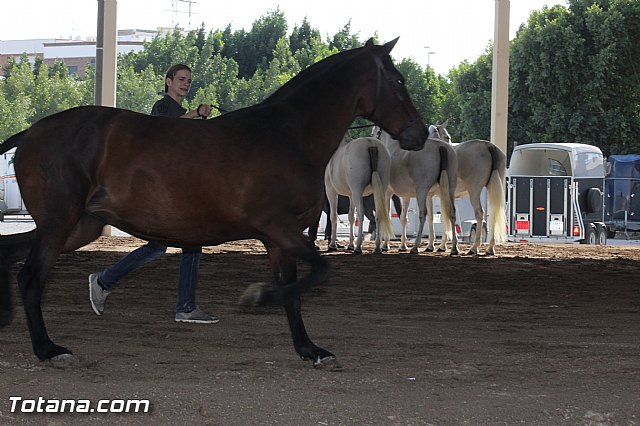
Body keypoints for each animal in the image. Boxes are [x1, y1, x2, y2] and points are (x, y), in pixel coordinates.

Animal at [0, 38, 428, 368]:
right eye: (398, 80)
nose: (420, 134)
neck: (286, 135)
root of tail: (31, 132)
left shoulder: (279, 238)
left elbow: (295, 289)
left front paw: (310, 350)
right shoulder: (278, 226)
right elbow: (319, 271)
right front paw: (257, 297)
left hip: (79, 226)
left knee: (12, 255)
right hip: (60, 221)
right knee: (31, 276)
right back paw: (48, 349)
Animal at [373, 127, 459, 255]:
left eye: (374, 132)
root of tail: (441, 146)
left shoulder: (386, 193)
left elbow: (384, 215)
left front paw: (384, 245)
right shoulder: (406, 195)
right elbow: (404, 217)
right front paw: (402, 245)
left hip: (422, 191)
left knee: (423, 214)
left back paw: (415, 246)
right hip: (450, 190)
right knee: (452, 212)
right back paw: (454, 247)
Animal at [428, 121, 507, 255]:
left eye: (448, 137)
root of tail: (489, 147)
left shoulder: (430, 195)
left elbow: (433, 217)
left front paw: (432, 245)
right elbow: (444, 217)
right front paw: (443, 245)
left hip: (474, 191)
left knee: (479, 213)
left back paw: (474, 247)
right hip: (494, 188)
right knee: (494, 213)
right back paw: (490, 248)